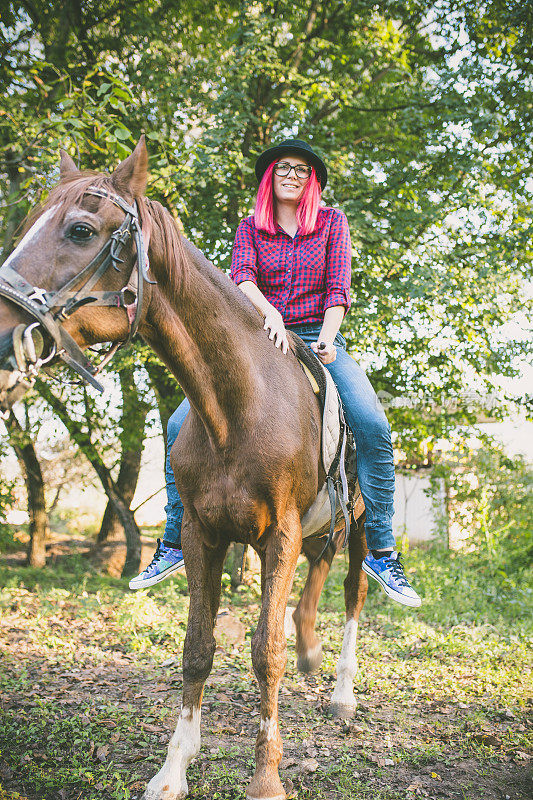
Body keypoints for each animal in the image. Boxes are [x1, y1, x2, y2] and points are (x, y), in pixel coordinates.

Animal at [0, 139, 366, 800]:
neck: (240, 404)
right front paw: (172, 771)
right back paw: (311, 647)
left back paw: (344, 690)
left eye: (80, 229)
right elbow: (198, 647)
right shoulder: (202, 532)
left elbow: (265, 652)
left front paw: (266, 779)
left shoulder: (280, 535)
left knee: (353, 589)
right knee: (319, 576)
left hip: (362, 521)